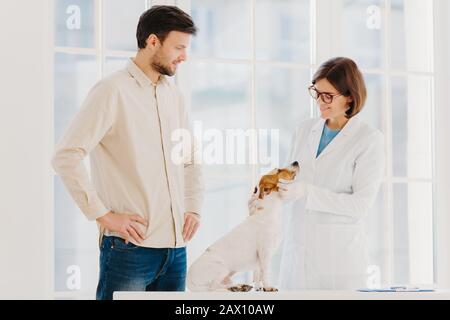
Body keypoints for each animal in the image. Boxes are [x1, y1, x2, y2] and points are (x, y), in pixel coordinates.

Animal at [186, 161, 298, 292]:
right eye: (279, 170)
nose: (295, 162)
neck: (269, 211)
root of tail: (188, 280)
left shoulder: (259, 259)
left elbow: (257, 274)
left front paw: (258, 287)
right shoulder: (265, 252)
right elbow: (265, 273)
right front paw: (268, 287)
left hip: (227, 274)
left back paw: (240, 286)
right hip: (221, 269)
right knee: (214, 287)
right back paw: (235, 287)